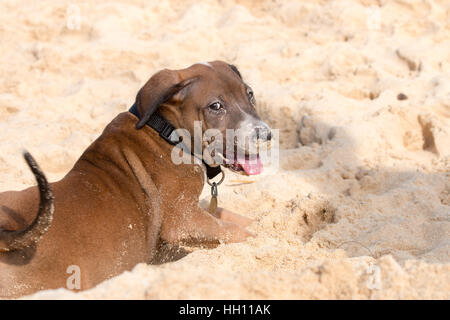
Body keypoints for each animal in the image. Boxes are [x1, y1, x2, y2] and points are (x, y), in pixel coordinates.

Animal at [0, 61, 270, 298]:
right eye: (215, 106)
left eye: (250, 95)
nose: (266, 134)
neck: (167, 131)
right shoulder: (184, 220)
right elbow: (236, 232)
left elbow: (231, 217)